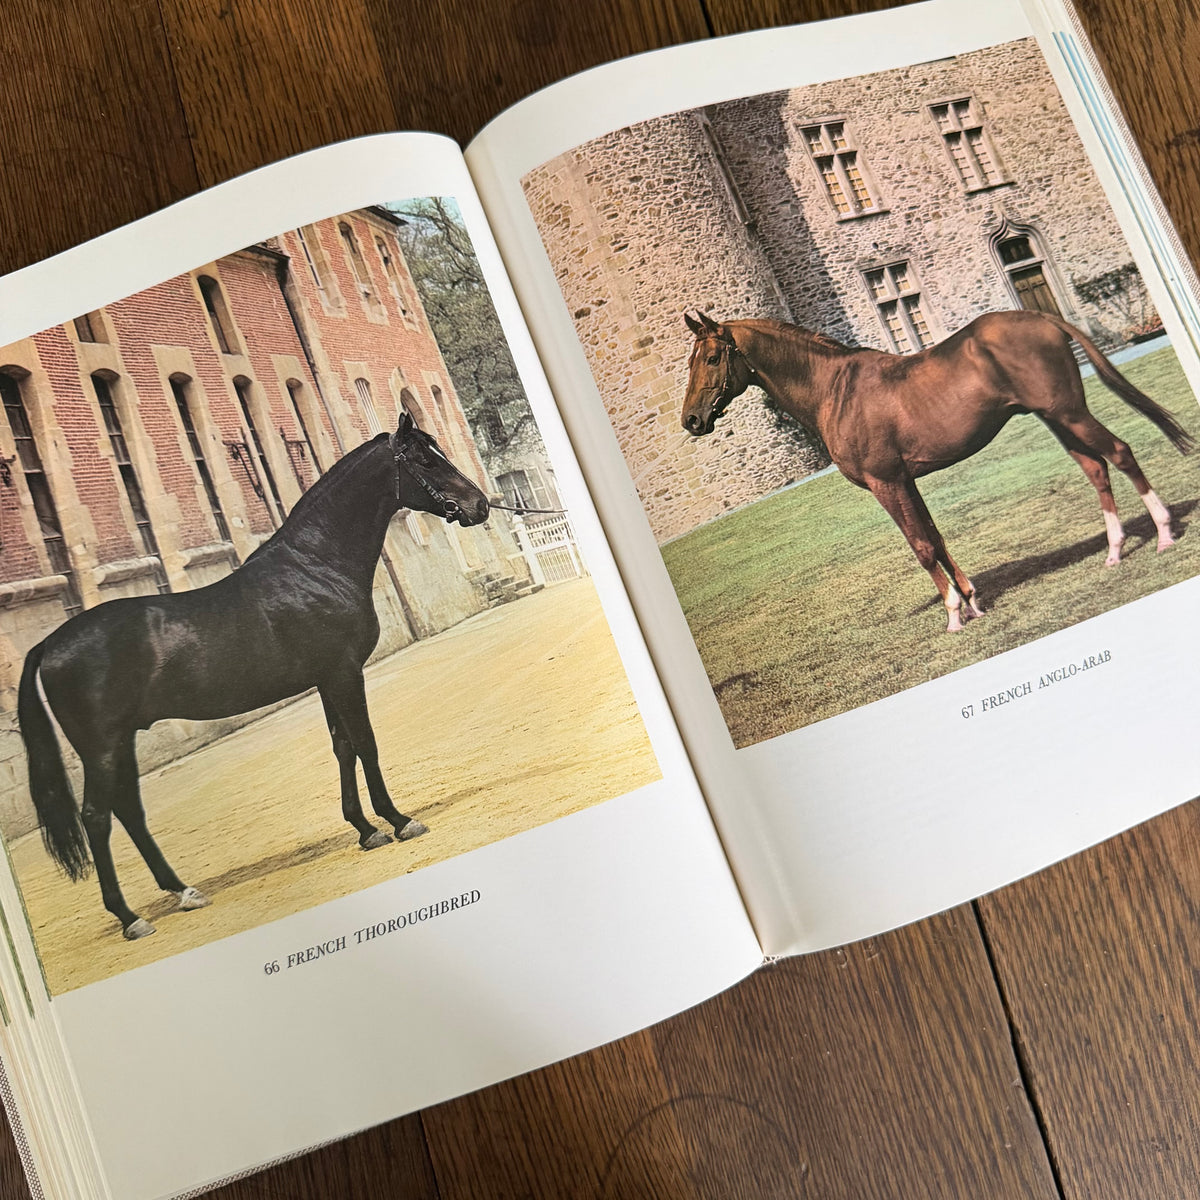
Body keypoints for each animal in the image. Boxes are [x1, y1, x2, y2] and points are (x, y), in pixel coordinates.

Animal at [17, 412, 489, 940]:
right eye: (426, 460)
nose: (481, 505)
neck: (314, 567)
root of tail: (50, 643)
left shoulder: (328, 679)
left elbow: (342, 747)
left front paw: (366, 830)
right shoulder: (344, 674)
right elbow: (366, 744)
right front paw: (399, 820)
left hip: (120, 742)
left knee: (129, 812)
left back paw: (184, 892)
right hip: (100, 748)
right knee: (97, 818)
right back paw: (131, 918)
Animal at [681, 309, 1192, 632]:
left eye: (712, 357)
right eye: (690, 361)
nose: (691, 420)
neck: (835, 389)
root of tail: (1038, 315)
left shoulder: (886, 483)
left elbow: (923, 547)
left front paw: (952, 614)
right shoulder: (907, 480)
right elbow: (937, 537)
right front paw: (972, 600)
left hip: (1069, 412)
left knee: (1120, 454)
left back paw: (1164, 533)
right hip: (1056, 418)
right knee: (1096, 469)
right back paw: (1115, 550)